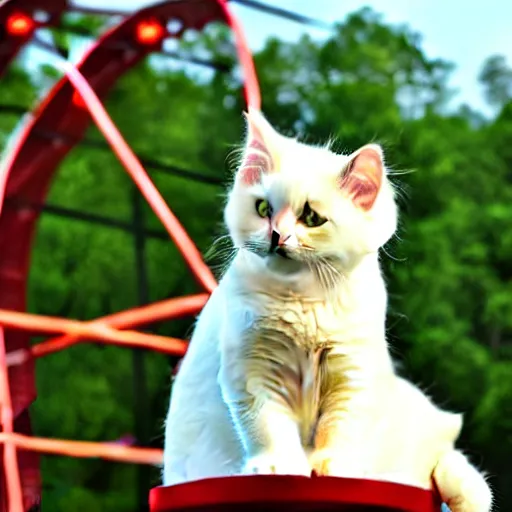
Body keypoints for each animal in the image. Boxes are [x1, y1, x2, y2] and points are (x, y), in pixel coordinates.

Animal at [163, 110, 492, 510]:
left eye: (311, 218)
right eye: (263, 210)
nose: (277, 236)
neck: (302, 301)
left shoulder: (351, 372)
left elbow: (339, 429)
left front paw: (333, 467)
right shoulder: (252, 370)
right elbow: (267, 426)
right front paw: (277, 466)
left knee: (448, 464)